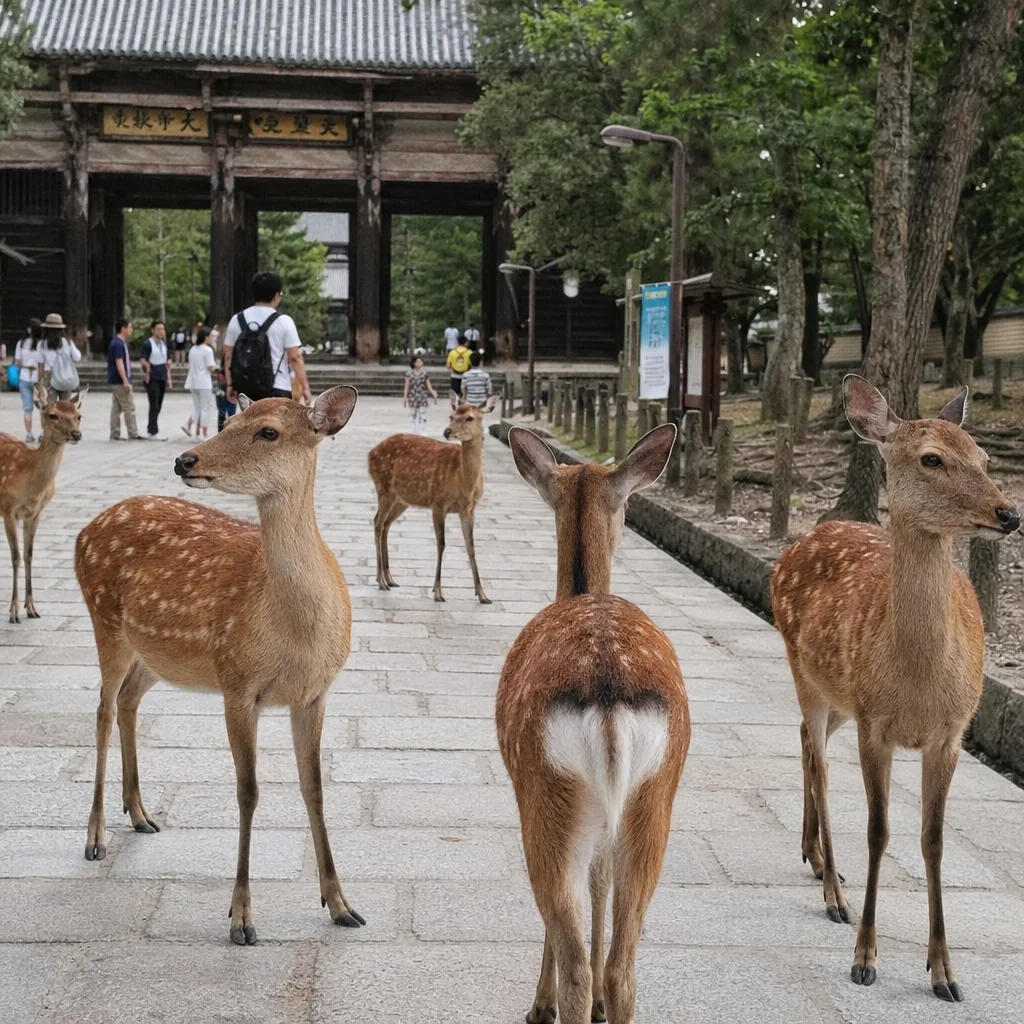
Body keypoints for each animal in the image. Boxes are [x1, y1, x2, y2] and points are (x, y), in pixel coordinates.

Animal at [1, 382, 85, 623]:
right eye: (53, 414)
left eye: (78, 415)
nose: (76, 434)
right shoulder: (8, 509)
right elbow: (15, 557)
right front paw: (13, 612)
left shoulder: (36, 513)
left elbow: (29, 555)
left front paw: (31, 608)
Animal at [74, 387, 367, 946]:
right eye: (228, 420)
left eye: (268, 431)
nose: (185, 460)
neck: (296, 633)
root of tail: (87, 527)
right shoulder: (237, 682)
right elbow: (248, 792)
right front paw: (241, 918)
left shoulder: (315, 693)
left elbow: (315, 789)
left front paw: (342, 905)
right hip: (105, 621)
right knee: (101, 709)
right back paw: (95, 837)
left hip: (155, 654)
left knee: (127, 701)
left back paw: (141, 814)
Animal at [368, 398, 496, 604]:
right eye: (451, 416)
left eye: (469, 417)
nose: (447, 431)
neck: (464, 483)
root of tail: (370, 453)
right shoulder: (438, 503)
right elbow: (441, 544)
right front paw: (438, 592)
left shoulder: (469, 509)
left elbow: (470, 546)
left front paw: (483, 595)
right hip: (383, 488)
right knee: (377, 523)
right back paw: (380, 581)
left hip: (401, 500)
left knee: (386, 524)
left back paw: (391, 579)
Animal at [497, 424, 690, 1024]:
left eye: (628, 504)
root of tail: (608, 695)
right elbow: (600, 882)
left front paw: (539, 1003)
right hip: (654, 800)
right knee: (624, 966)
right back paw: (608, 998)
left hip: (546, 791)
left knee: (576, 958)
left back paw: (555, 1004)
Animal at [772, 375, 1021, 1003]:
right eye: (932, 458)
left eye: (985, 457)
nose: (1008, 512)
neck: (917, 684)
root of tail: (803, 537)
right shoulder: (876, 725)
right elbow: (879, 831)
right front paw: (864, 958)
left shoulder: (951, 733)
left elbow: (933, 839)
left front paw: (945, 972)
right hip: (804, 670)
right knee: (819, 761)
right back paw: (833, 893)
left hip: (839, 694)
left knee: (806, 742)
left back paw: (816, 859)